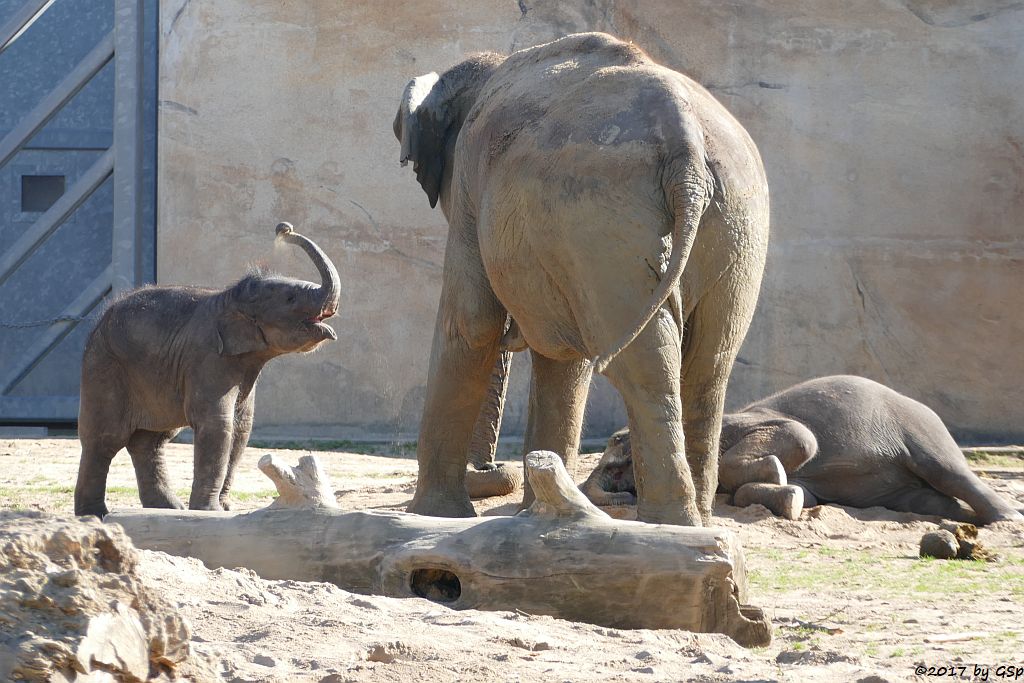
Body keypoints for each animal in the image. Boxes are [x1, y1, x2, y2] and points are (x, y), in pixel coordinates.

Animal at [76, 224, 339, 518]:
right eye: (291, 298)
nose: (284, 229)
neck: (229, 298)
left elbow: (241, 427)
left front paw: (223, 509)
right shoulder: (208, 358)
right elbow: (217, 424)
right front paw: (209, 511)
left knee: (150, 441)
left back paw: (168, 508)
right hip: (104, 369)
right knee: (105, 439)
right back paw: (94, 515)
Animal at [393, 31, 770, 528]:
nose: (491, 471)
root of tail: (685, 142)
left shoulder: (474, 181)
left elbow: (471, 323)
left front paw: (438, 517)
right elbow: (563, 361)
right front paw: (533, 515)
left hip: (602, 218)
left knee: (643, 367)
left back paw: (669, 523)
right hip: (737, 226)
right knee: (709, 367)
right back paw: (698, 523)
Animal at [585, 376, 1024, 528]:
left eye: (616, 462)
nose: (625, 497)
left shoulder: (745, 423)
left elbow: (800, 437)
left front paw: (776, 473)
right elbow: (802, 494)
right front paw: (791, 497)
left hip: (921, 428)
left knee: (948, 471)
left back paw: (1007, 521)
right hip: (903, 487)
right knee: (930, 501)